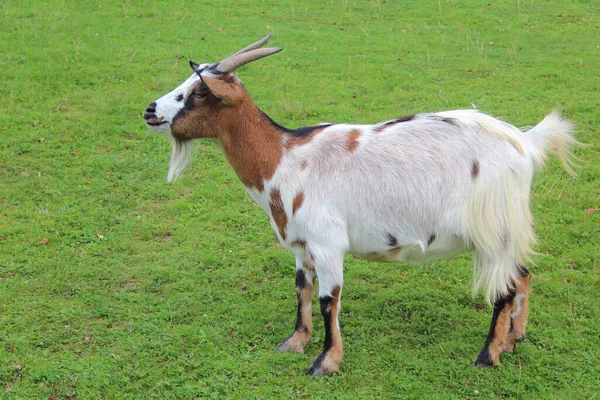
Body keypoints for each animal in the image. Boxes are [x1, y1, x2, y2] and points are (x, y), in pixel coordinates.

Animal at [143, 33, 580, 376]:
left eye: (198, 92)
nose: (150, 111)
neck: (284, 159)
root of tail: (525, 144)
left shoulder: (327, 242)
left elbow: (327, 301)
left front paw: (325, 362)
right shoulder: (301, 245)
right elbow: (302, 290)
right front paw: (295, 342)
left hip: (494, 228)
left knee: (505, 287)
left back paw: (488, 355)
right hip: (509, 229)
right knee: (523, 273)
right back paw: (514, 338)